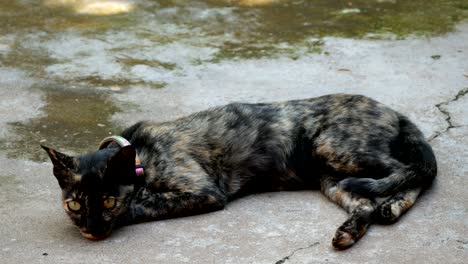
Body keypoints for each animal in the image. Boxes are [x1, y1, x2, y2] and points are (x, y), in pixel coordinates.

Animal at [42, 94, 436, 249]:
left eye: (109, 202)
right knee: (367, 203)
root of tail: (392, 110)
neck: (139, 154)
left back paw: (392, 205)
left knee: (415, 169)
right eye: (74, 205)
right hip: (331, 178)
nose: (92, 230)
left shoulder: (202, 191)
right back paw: (356, 227)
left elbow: (143, 202)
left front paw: (131, 206)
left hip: (336, 149)